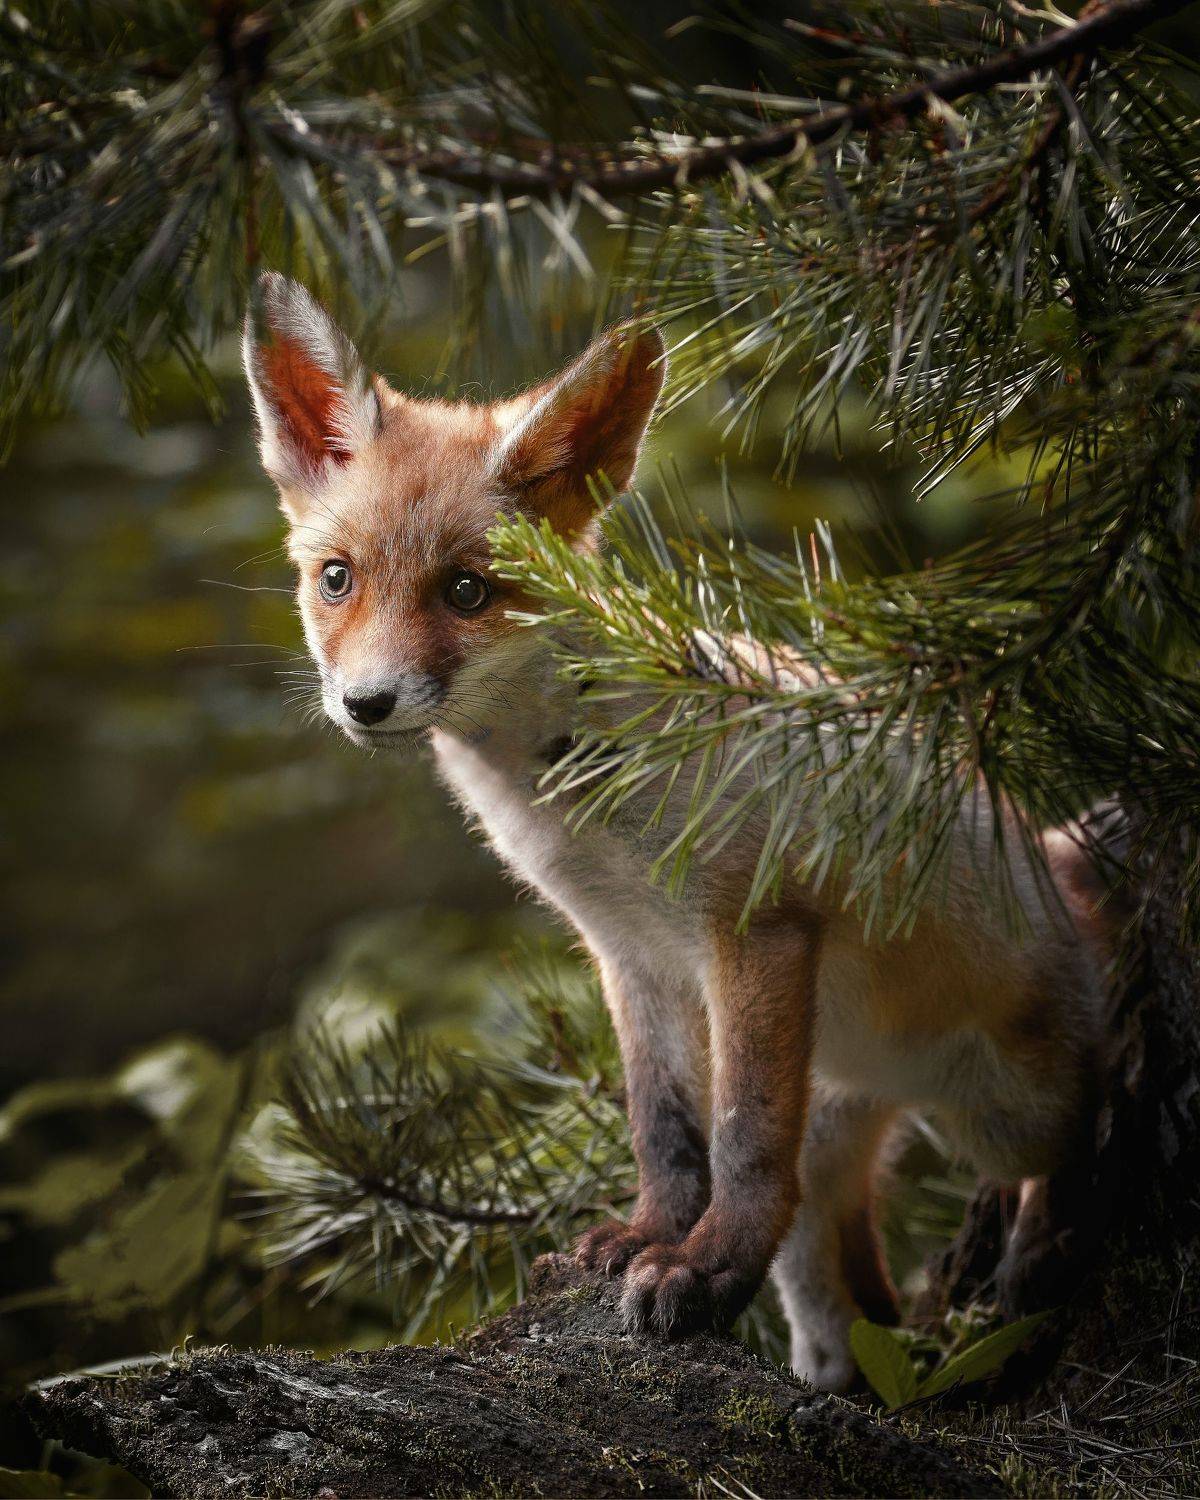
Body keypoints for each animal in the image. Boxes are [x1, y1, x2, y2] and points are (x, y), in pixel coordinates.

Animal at [243, 271, 1112, 1391]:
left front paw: (703, 1270)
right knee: (840, 1281)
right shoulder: (627, 952)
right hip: (840, 1118)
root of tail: (1050, 862)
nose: (366, 703)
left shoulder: (755, 927)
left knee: (1084, 1132)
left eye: (468, 591)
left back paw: (1041, 1256)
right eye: (337, 579)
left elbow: (739, 1142)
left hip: (1009, 1112)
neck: (575, 798)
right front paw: (654, 1236)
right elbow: (664, 1130)